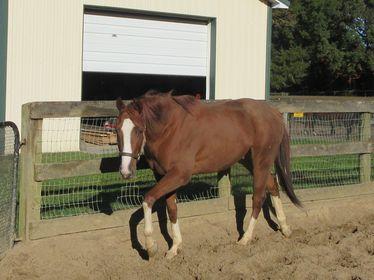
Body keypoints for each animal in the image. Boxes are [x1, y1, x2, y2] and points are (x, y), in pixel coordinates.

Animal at [115, 91, 302, 260]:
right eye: (117, 130)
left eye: (139, 130)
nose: (125, 171)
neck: (170, 129)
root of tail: (274, 112)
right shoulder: (163, 176)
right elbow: (172, 209)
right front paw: (175, 248)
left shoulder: (180, 175)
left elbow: (148, 199)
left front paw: (151, 247)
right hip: (249, 159)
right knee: (272, 185)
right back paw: (285, 228)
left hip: (261, 159)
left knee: (258, 197)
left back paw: (245, 238)